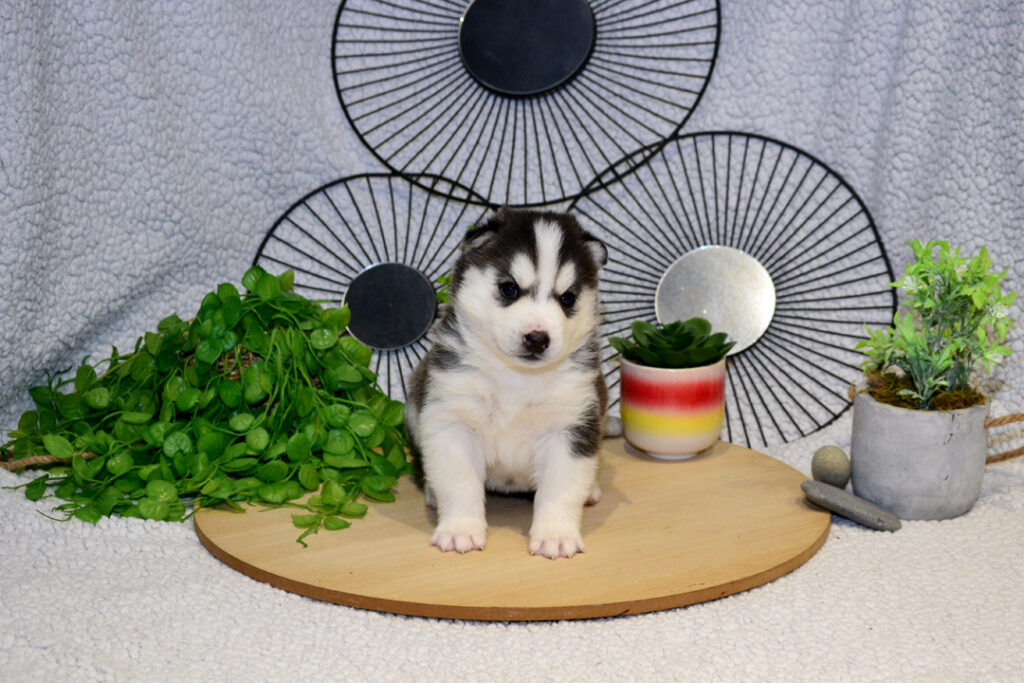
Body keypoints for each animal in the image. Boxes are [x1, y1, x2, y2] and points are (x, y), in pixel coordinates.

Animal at [403, 209, 602, 561]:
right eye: (509, 288)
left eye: (567, 298)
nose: (537, 338)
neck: (518, 378)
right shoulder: (451, 420)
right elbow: (460, 482)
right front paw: (460, 529)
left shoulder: (572, 426)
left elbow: (560, 488)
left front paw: (555, 535)